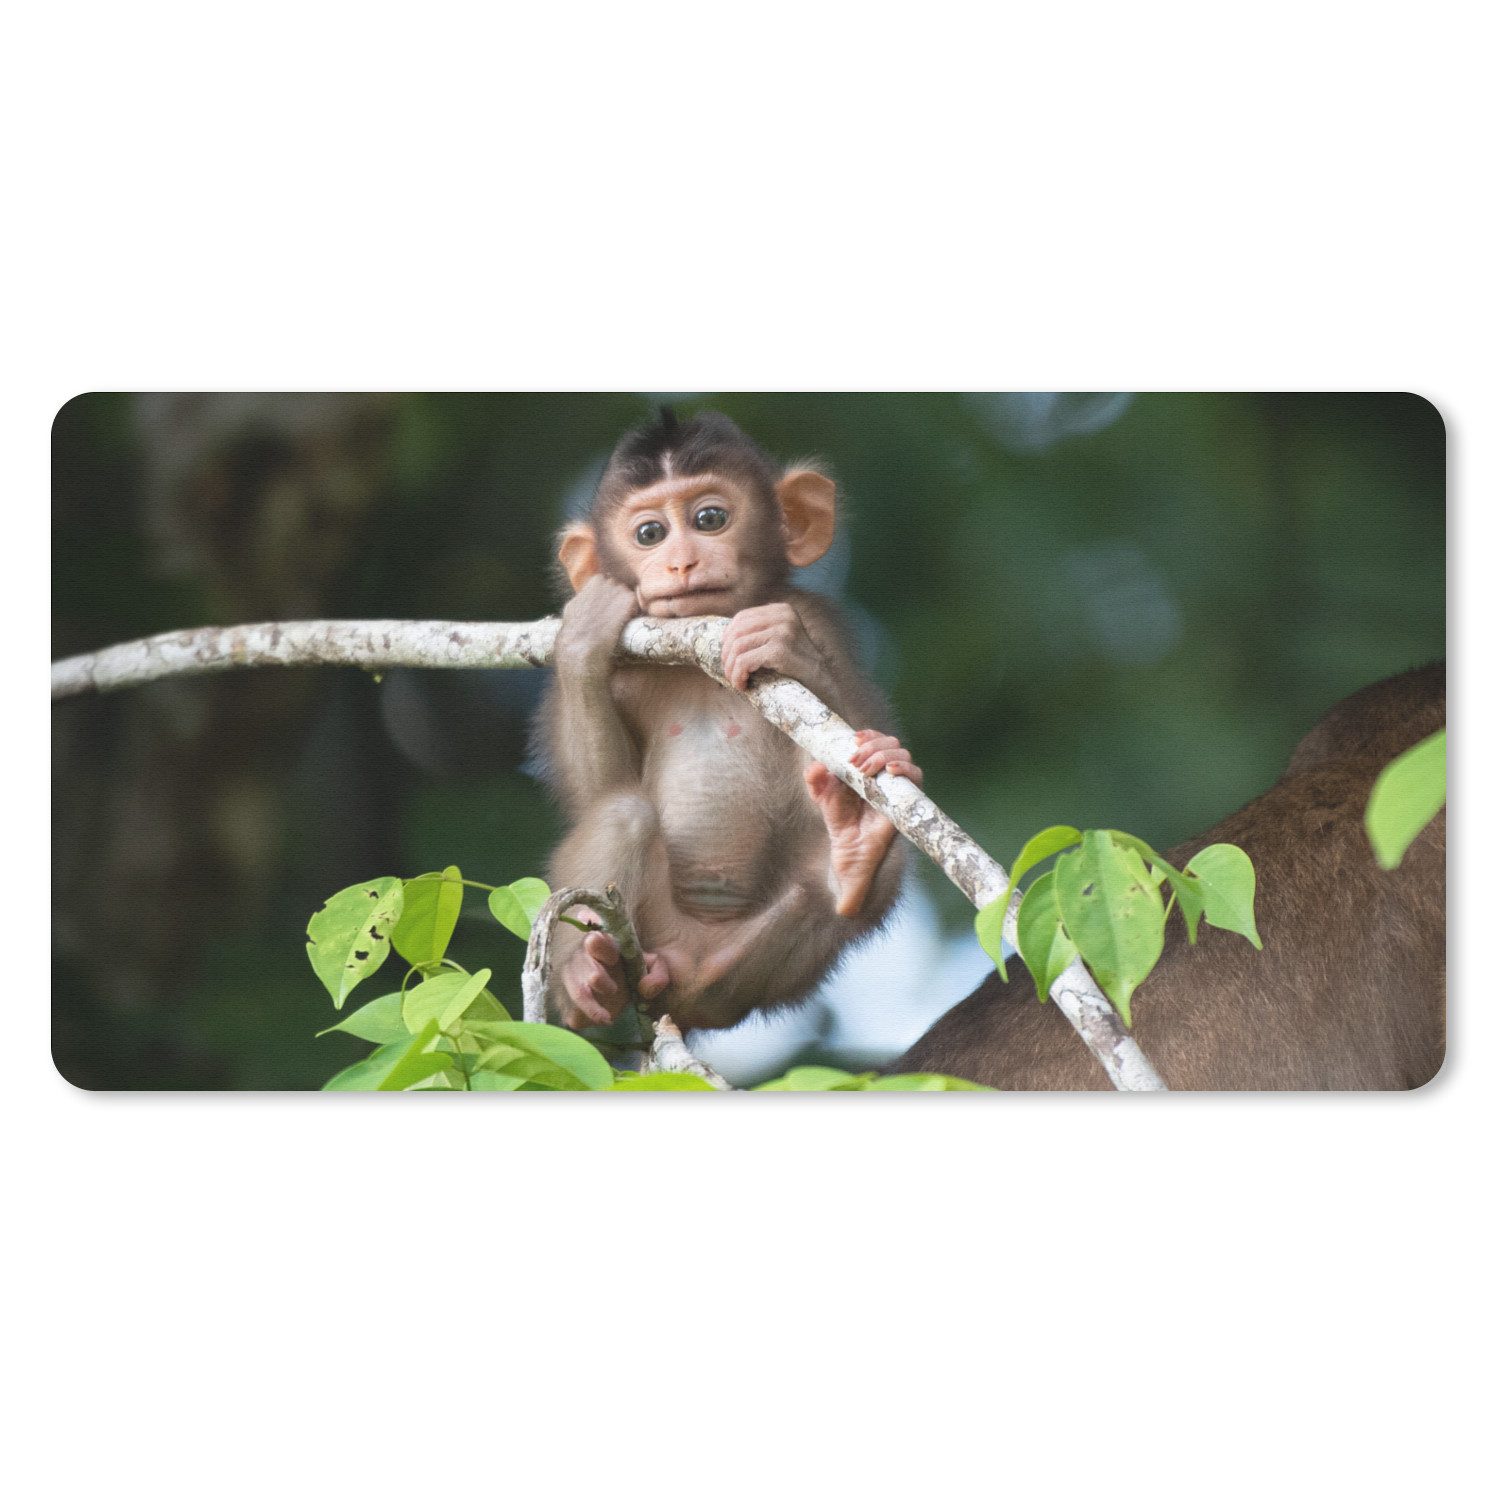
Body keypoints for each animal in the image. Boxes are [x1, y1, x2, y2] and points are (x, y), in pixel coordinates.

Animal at [534, 409, 922, 1032]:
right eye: (649, 534)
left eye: (710, 519)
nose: (682, 561)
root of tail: (681, 985)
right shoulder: (624, 667)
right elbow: (595, 791)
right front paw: (583, 638)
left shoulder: (820, 620)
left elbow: (839, 725)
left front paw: (784, 647)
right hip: (648, 931)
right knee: (621, 813)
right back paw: (586, 981)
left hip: (738, 970)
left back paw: (854, 859)